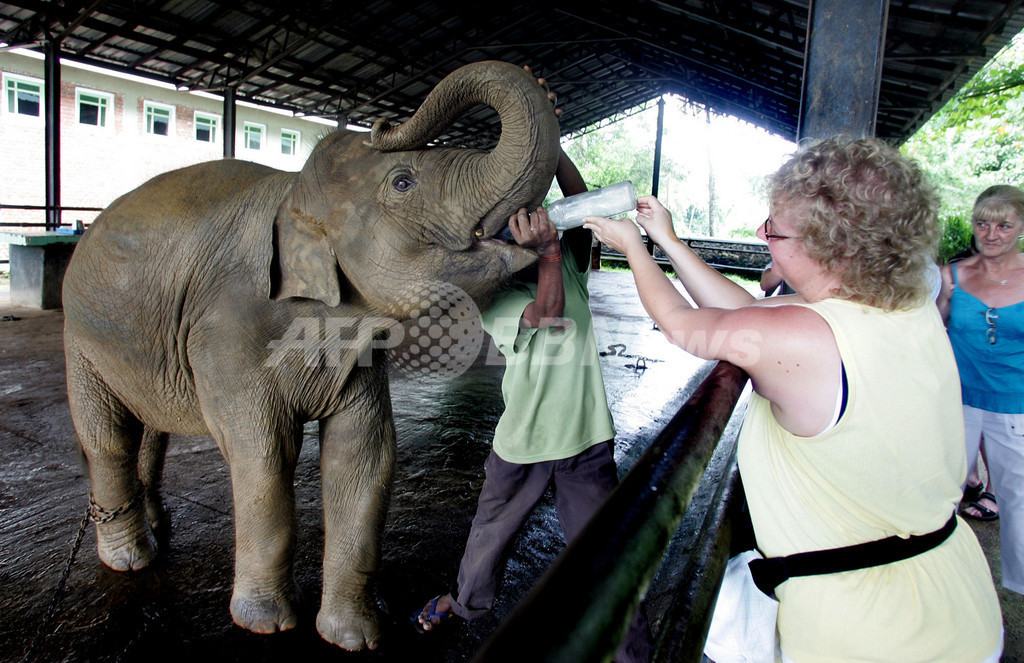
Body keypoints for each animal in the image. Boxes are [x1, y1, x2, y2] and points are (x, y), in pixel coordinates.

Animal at [61, 59, 561, 651]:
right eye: (403, 182)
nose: (381, 123)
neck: (294, 195)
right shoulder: (226, 329)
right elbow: (264, 456)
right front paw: (267, 624)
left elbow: (364, 455)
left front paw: (356, 636)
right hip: (80, 336)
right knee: (108, 435)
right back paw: (132, 558)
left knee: (149, 426)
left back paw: (157, 525)